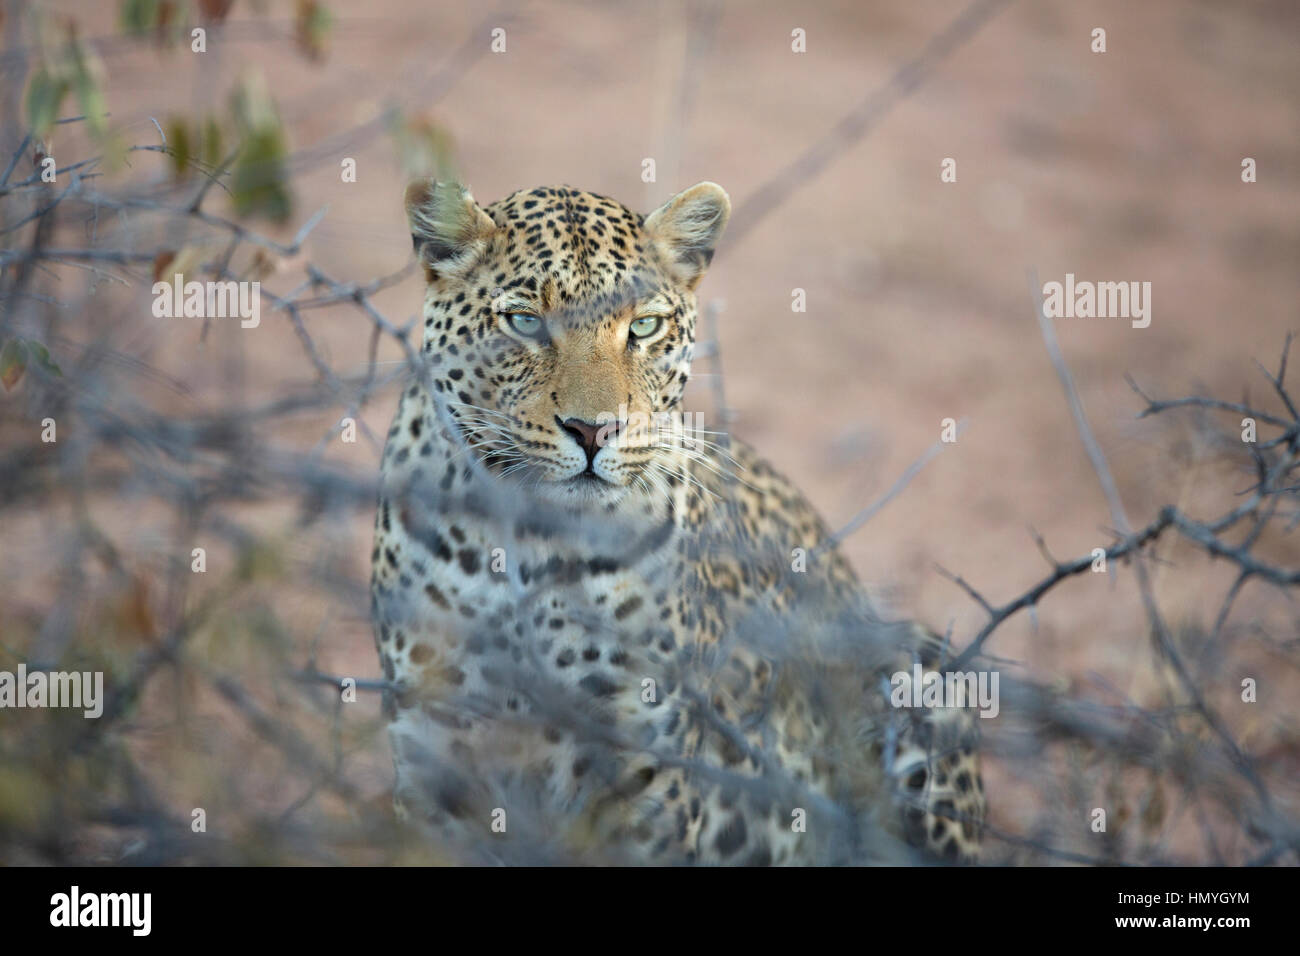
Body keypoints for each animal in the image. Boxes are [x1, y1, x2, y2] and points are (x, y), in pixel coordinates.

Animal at [369, 177, 985, 864]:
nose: (593, 430)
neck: (532, 541)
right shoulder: (434, 739)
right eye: (525, 321)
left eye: (643, 327)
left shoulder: (645, 758)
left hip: (916, 660)